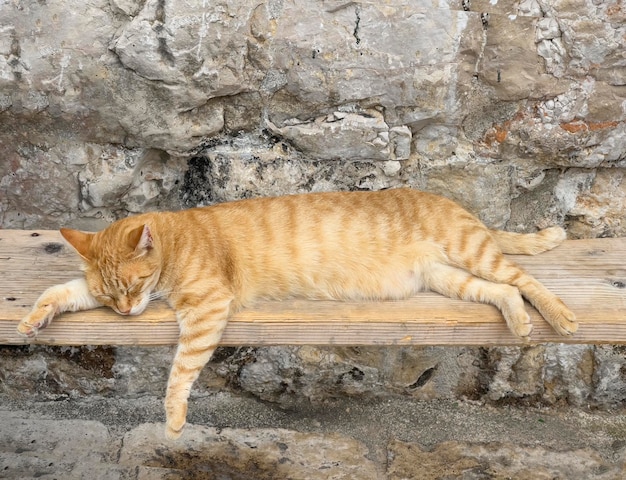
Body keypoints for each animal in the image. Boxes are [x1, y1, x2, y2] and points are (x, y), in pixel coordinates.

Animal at [15, 188, 576, 438]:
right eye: (112, 297)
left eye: (132, 286)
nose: (128, 313)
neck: (175, 240)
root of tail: (454, 203)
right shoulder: (99, 294)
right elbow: (61, 290)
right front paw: (32, 318)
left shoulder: (206, 308)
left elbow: (179, 372)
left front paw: (173, 419)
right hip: (448, 278)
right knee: (503, 293)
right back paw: (520, 321)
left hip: (471, 253)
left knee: (526, 281)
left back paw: (559, 316)